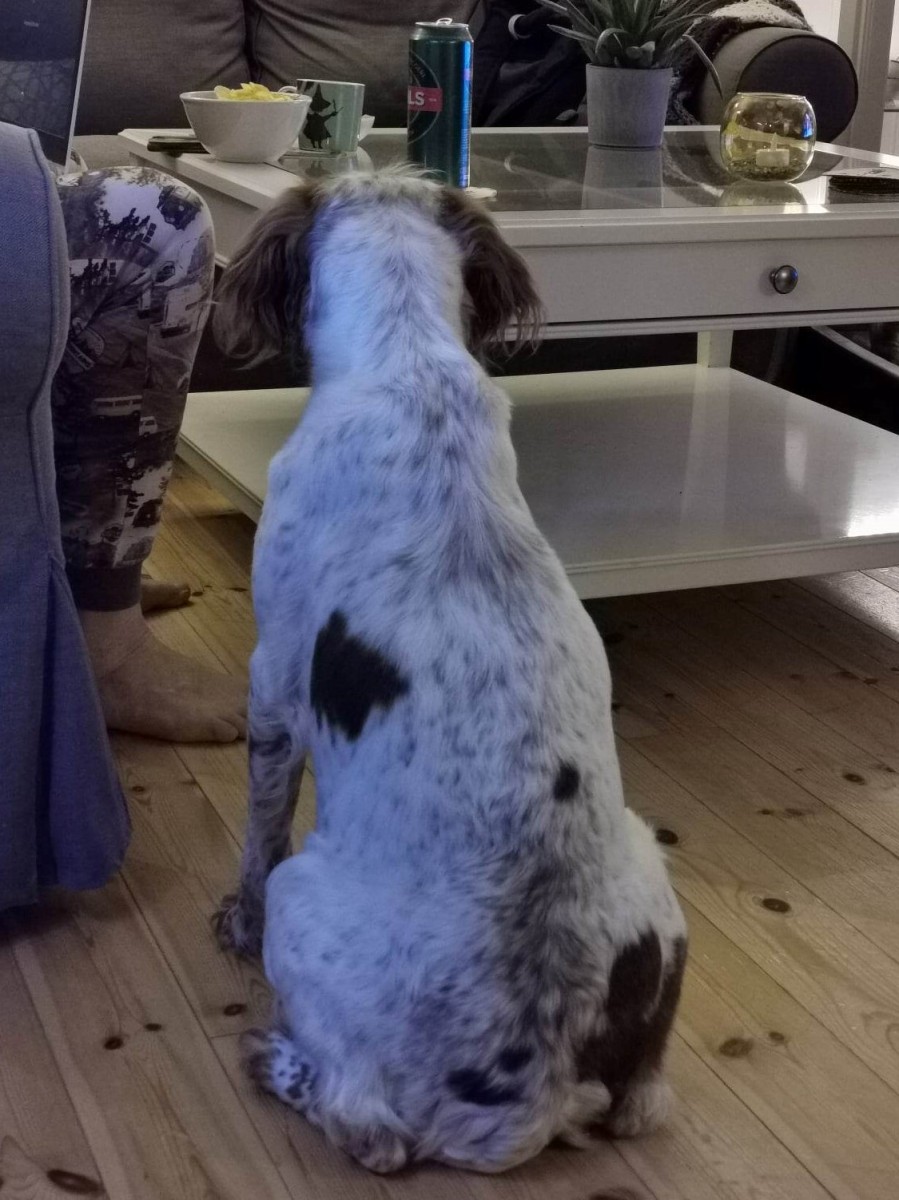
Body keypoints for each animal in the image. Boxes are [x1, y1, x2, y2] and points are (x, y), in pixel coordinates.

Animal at [212, 170, 687, 1176]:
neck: (408, 361)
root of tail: (537, 1091)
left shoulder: (272, 678)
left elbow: (259, 828)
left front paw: (232, 920)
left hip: (306, 898)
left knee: (367, 1123)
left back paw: (274, 1058)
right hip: (652, 878)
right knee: (639, 1102)